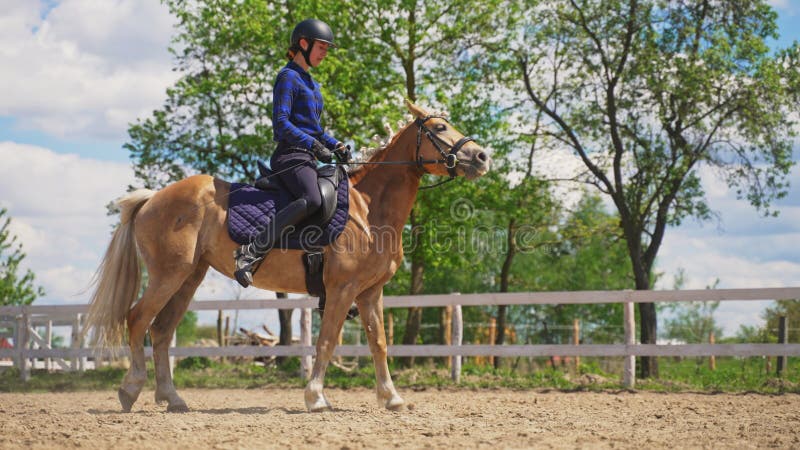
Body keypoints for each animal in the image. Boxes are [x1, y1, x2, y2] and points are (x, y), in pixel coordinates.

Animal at [84, 100, 490, 414]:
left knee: (161, 331)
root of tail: (154, 197)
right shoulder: (342, 289)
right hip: (168, 275)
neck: (369, 209)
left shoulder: (370, 292)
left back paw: (172, 398)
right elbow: (326, 340)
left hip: (189, 277)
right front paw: (316, 398)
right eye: (439, 127)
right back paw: (130, 389)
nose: (482, 156)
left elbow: (379, 343)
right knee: (137, 320)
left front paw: (391, 398)